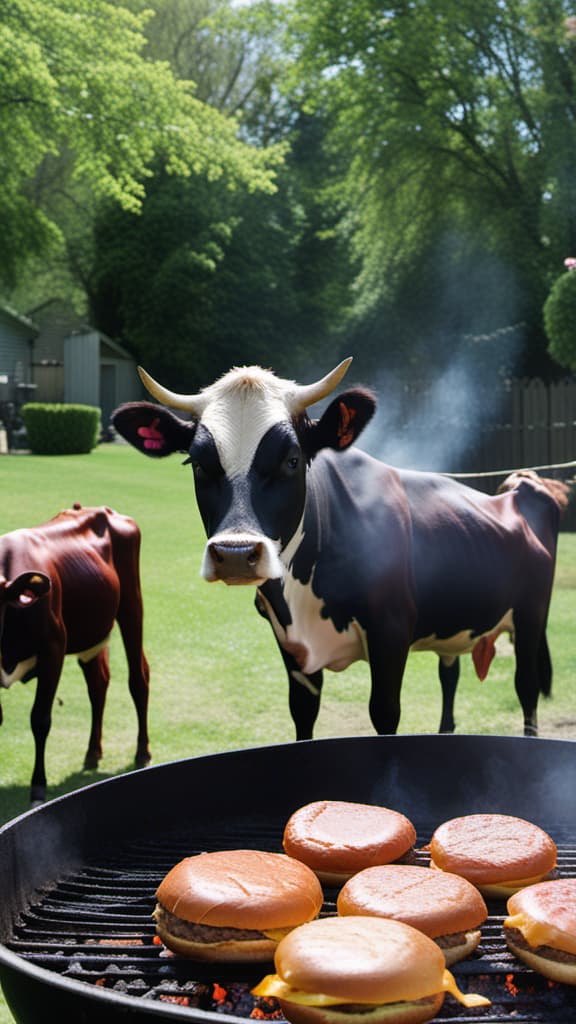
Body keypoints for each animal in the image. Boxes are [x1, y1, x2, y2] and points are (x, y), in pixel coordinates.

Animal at [0, 503, 150, 806]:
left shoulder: (53, 650)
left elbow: (40, 719)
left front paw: (38, 787)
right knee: (98, 684)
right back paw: (93, 753)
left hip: (131, 604)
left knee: (138, 679)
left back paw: (142, 752)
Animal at [111, 360, 565, 745]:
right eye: (198, 464)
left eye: (292, 460)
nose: (236, 553)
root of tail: (524, 487)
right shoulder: (289, 644)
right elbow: (302, 714)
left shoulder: (391, 631)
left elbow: (384, 713)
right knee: (449, 677)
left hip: (531, 614)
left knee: (526, 687)